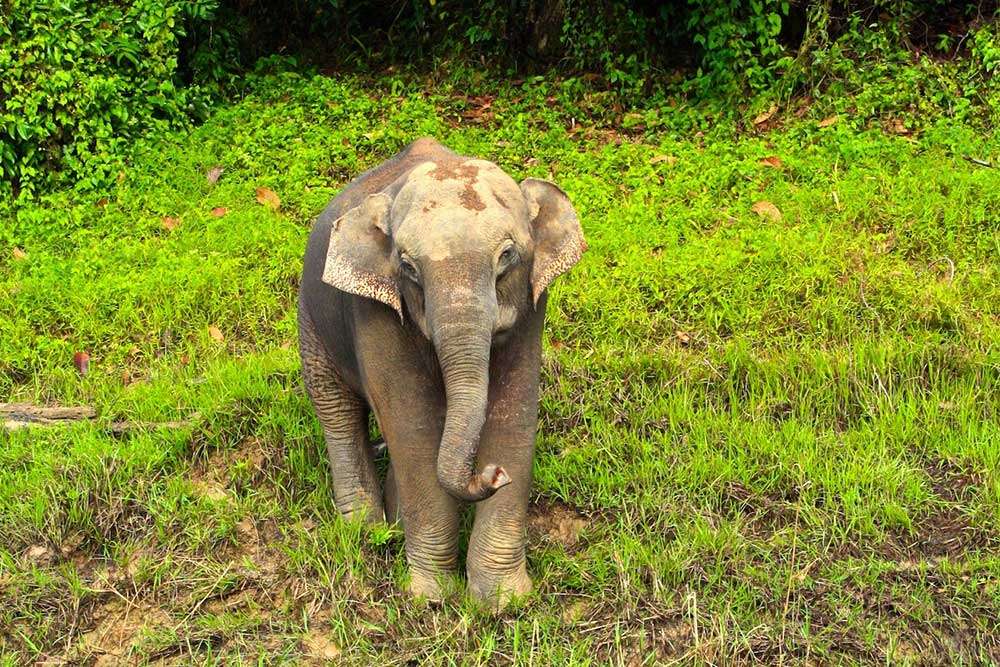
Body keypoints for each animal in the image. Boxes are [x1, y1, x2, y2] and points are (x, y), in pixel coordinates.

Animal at [297, 137, 585, 605]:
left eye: (507, 256)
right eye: (409, 267)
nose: (493, 474)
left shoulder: (532, 306)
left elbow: (512, 416)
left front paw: (503, 603)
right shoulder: (375, 313)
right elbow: (413, 427)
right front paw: (431, 597)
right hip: (310, 315)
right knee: (335, 408)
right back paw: (365, 530)